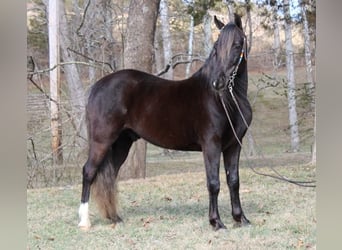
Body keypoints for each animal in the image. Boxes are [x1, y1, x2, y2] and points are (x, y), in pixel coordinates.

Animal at [79, 13, 252, 230]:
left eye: (237, 45)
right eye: (216, 47)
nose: (218, 82)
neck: (226, 100)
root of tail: (97, 86)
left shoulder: (234, 145)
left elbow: (234, 181)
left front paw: (241, 218)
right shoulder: (211, 145)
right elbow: (213, 182)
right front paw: (216, 222)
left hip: (121, 143)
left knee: (110, 174)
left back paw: (114, 217)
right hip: (102, 141)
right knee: (89, 172)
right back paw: (84, 221)